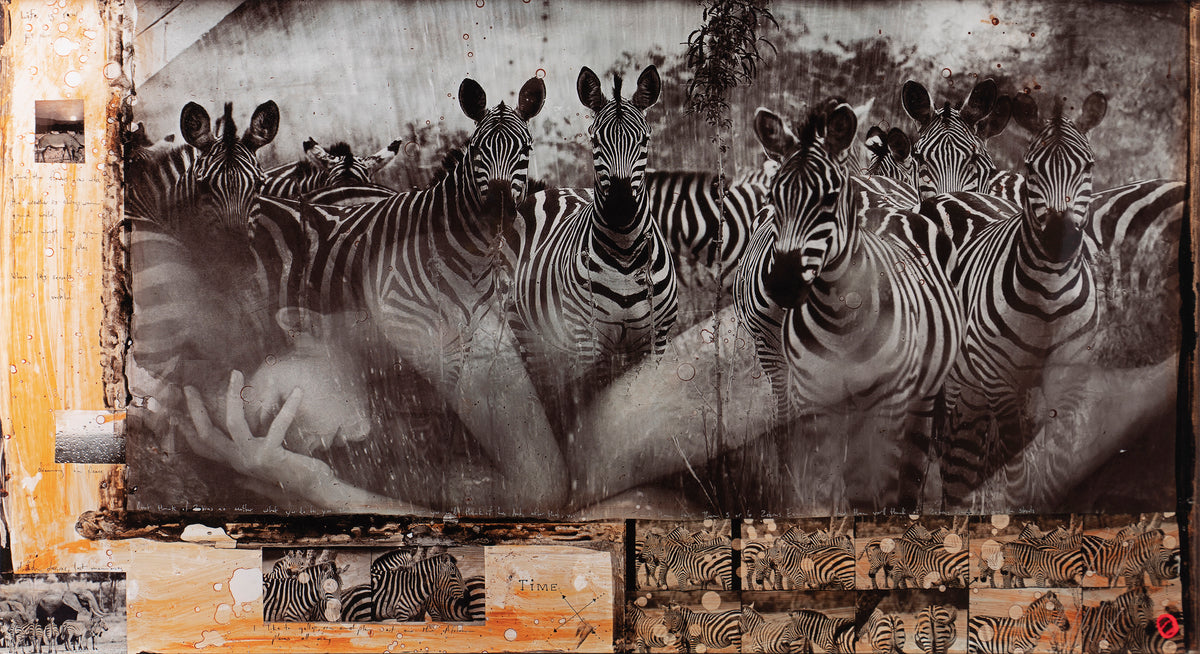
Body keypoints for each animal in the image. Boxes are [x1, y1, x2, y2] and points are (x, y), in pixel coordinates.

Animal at [510, 65, 678, 393]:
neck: (625, 253)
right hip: (527, 334)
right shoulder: (590, 340)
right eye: (596, 141)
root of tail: (547, 191)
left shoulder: (657, 338)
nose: (621, 207)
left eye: (644, 141)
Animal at [936, 91, 1107, 508]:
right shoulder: (1000, 381)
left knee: (965, 454)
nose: (1059, 237)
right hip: (959, 380)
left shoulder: (1068, 379)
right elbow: (1016, 473)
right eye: (1031, 167)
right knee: (951, 452)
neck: (1049, 293)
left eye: (1088, 165)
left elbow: (1058, 464)